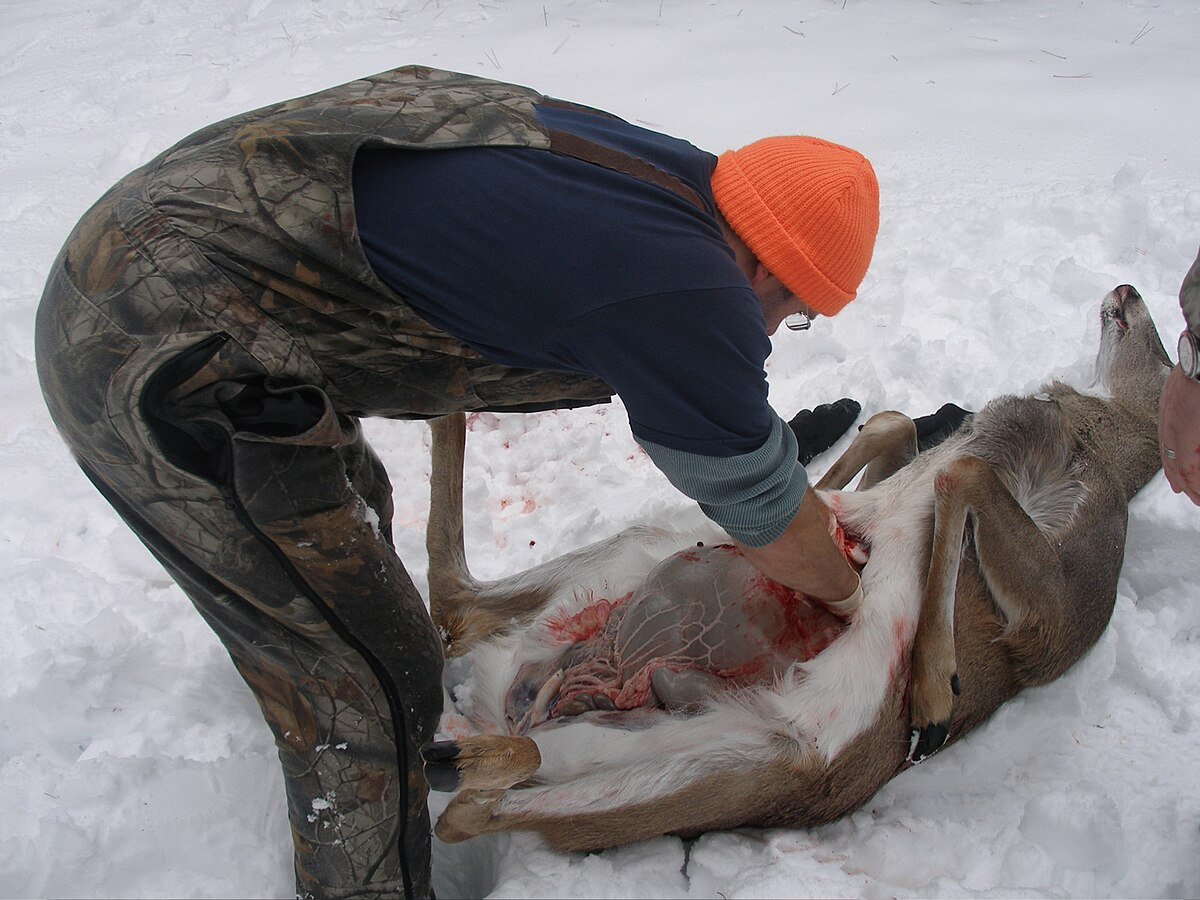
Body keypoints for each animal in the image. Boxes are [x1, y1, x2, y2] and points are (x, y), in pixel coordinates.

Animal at [418, 283, 1170, 851]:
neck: (1103, 438)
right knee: (457, 617)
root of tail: (508, 702)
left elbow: (953, 470)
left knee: (468, 791)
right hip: (645, 571)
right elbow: (903, 432)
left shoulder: (1058, 612)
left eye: (1170, 354)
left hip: (730, 764)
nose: (1128, 290)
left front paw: (931, 692)